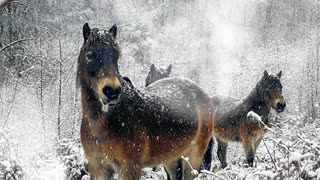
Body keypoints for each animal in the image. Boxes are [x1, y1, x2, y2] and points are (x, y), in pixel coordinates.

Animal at [77, 22, 215, 180]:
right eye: (89, 55)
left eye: (116, 56)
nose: (112, 91)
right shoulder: (98, 168)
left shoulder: (130, 168)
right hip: (171, 159)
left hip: (193, 158)